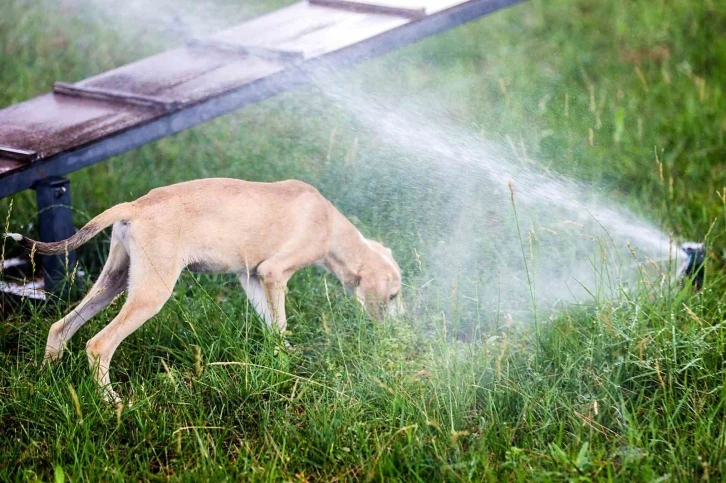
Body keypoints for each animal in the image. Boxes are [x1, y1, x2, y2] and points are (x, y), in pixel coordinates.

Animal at [7, 180, 404, 402]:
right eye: (395, 295)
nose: (399, 331)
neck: (331, 225)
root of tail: (135, 206)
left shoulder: (253, 278)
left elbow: (274, 328)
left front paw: (283, 360)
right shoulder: (275, 273)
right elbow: (281, 322)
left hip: (114, 282)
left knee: (60, 327)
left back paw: (45, 378)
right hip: (151, 293)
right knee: (98, 344)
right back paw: (111, 400)